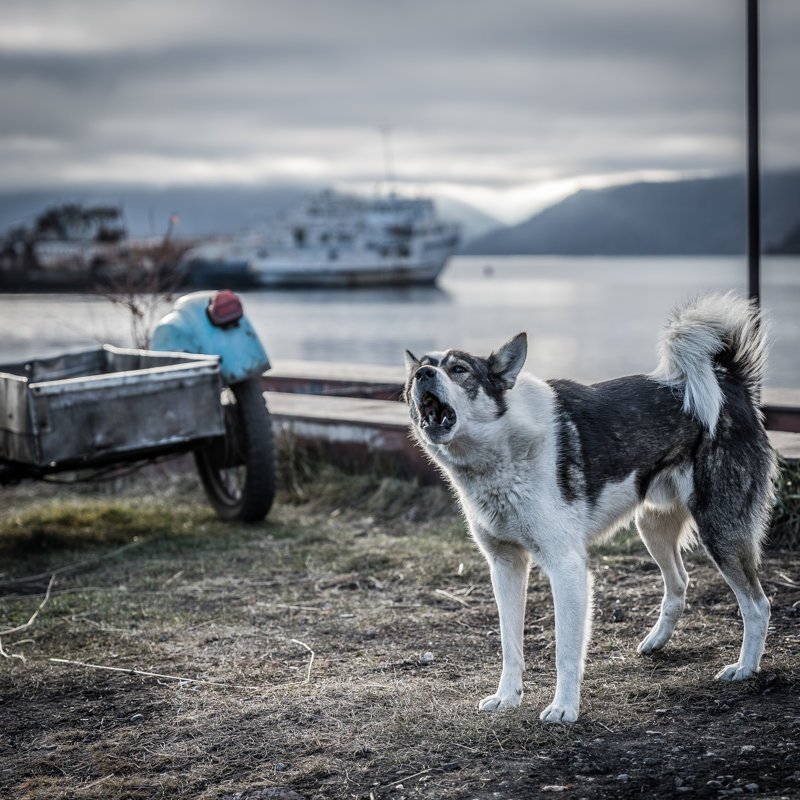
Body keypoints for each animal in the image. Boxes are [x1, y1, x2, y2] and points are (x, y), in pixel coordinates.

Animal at [406, 296, 776, 724]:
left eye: (459, 369)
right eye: (417, 372)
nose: (424, 375)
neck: (501, 449)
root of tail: (729, 382)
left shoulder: (566, 567)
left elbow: (566, 651)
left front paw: (564, 707)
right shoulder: (505, 566)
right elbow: (510, 645)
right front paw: (507, 697)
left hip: (721, 530)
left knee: (757, 604)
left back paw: (746, 668)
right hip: (652, 526)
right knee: (679, 583)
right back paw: (656, 641)